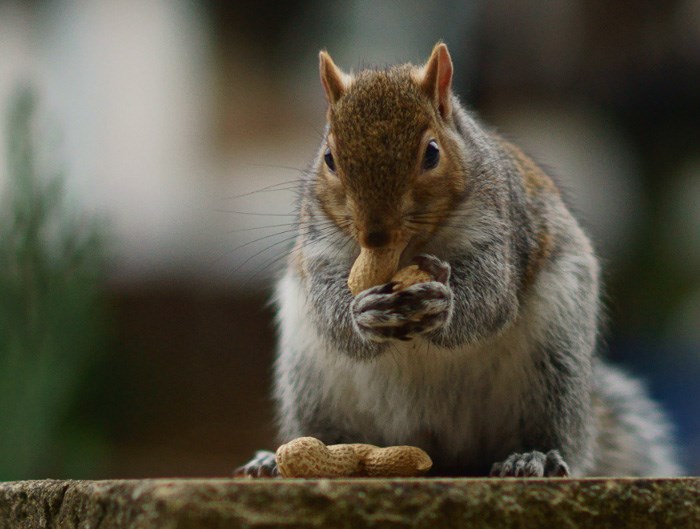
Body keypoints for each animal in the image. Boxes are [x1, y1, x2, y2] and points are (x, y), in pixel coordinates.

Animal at [234, 43, 680, 476]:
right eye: (329, 157)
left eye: (432, 153)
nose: (374, 235)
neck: (406, 249)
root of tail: (436, 450)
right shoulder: (320, 244)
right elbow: (327, 303)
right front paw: (364, 313)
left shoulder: (498, 226)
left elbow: (493, 297)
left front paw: (443, 305)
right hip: (309, 380)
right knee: (326, 434)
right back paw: (276, 460)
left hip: (555, 361)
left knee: (557, 432)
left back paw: (534, 456)